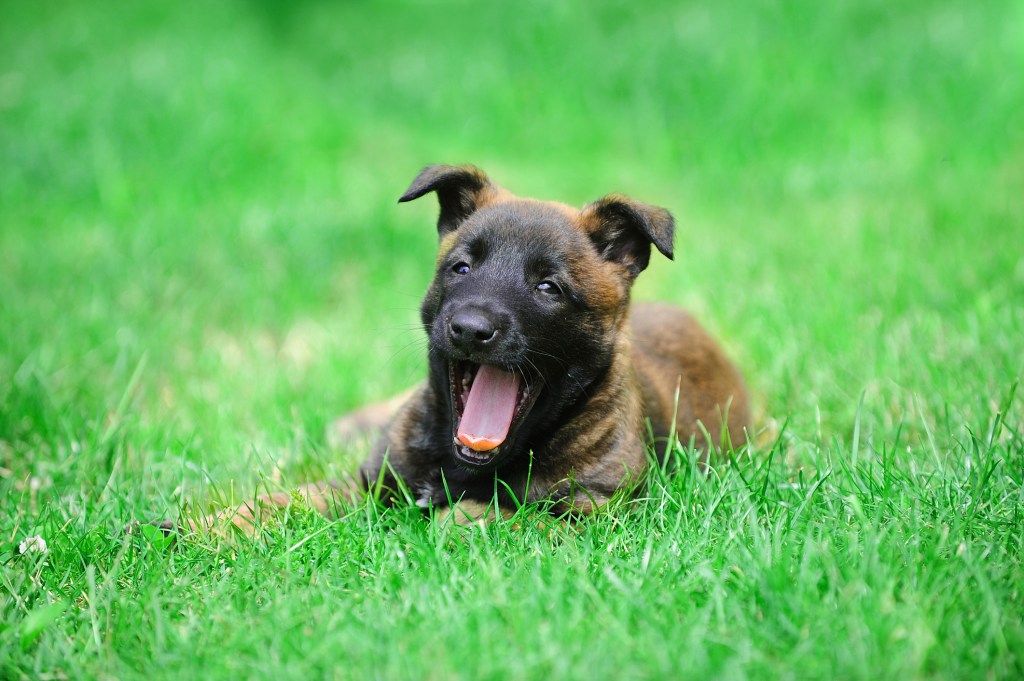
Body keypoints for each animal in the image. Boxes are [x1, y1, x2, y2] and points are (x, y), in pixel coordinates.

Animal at [151, 163, 749, 532]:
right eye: (461, 268)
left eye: (548, 287)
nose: (469, 328)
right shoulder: (365, 483)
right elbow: (276, 503)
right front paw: (186, 528)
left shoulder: (599, 510)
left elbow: (521, 515)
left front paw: (458, 518)